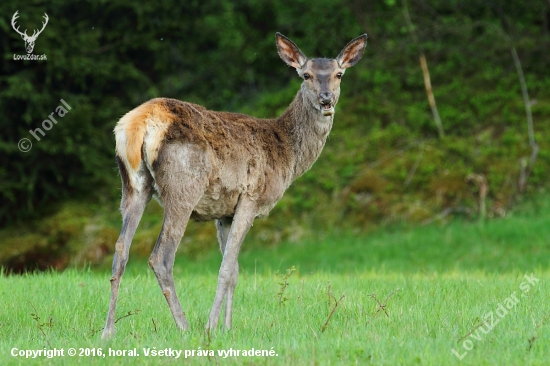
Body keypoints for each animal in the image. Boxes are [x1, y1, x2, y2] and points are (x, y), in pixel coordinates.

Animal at [101, 31, 368, 338]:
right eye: (306, 75)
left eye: (339, 74)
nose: (326, 99)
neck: (287, 155)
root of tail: (137, 125)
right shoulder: (251, 197)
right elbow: (227, 267)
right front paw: (211, 327)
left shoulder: (224, 211)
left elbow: (235, 270)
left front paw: (226, 327)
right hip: (183, 187)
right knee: (161, 257)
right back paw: (185, 326)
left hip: (133, 186)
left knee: (121, 249)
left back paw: (108, 330)